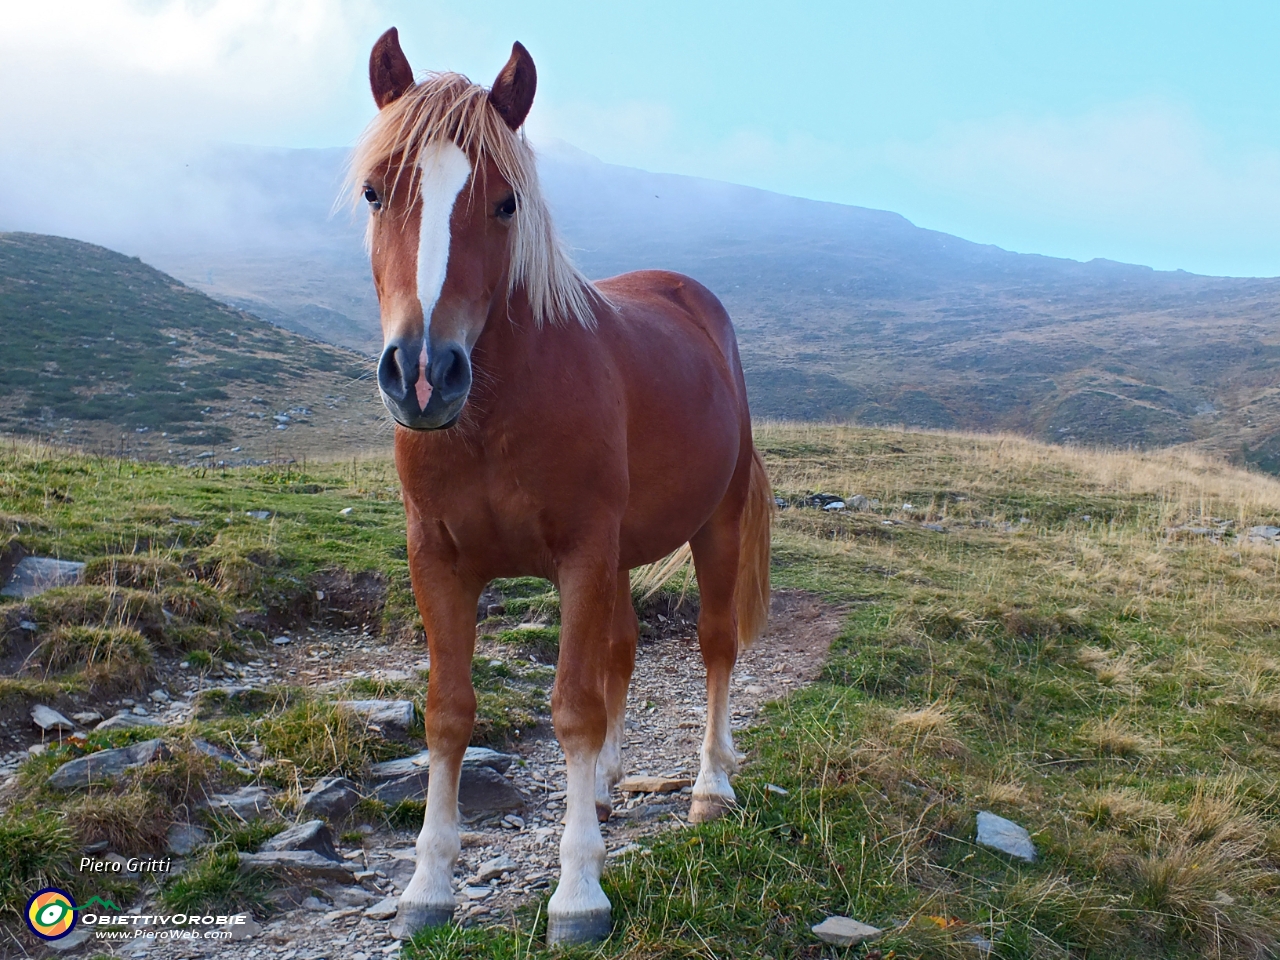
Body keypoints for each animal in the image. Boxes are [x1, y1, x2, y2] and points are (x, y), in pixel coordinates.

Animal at [350, 30, 768, 947]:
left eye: (506, 203)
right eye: (373, 191)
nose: (424, 375)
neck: (500, 410)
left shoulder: (580, 554)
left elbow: (573, 707)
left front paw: (579, 893)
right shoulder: (437, 559)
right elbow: (448, 712)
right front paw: (427, 886)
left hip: (712, 527)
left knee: (715, 647)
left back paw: (711, 786)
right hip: (621, 556)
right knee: (623, 652)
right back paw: (607, 788)